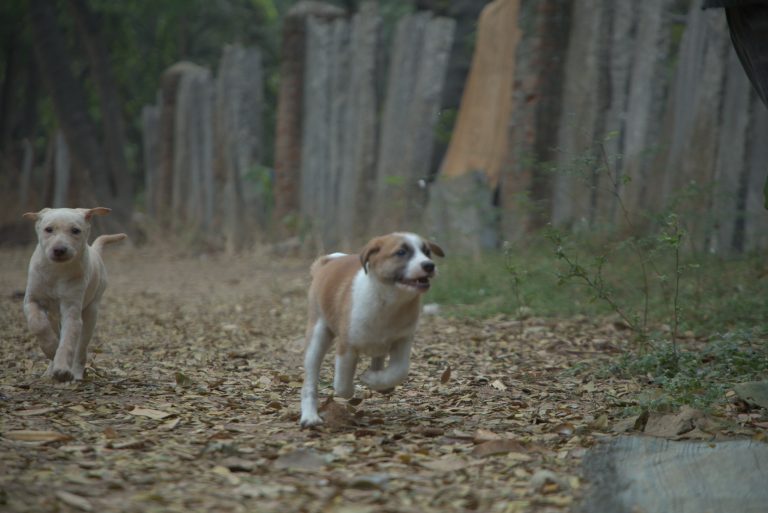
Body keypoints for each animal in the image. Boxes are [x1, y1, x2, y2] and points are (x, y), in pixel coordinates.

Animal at [22, 207, 126, 380]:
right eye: (48, 229)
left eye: (75, 231)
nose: (59, 249)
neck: (57, 271)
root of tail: (94, 250)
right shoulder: (32, 299)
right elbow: (38, 324)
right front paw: (51, 348)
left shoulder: (72, 309)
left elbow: (68, 341)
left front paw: (62, 369)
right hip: (53, 316)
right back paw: (49, 370)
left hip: (91, 312)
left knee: (81, 348)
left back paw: (76, 373)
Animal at [300, 230, 444, 426]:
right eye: (401, 252)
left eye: (427, 252)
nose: (429, 265)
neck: (389, 302)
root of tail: (325, 264)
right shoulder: (347, 346)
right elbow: (342, 384)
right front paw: (358, 384)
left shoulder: (403, 340)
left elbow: (399, 371)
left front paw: (372, 379)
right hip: (317, 335)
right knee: (310, 381)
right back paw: (310, 416)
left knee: (379, 357)